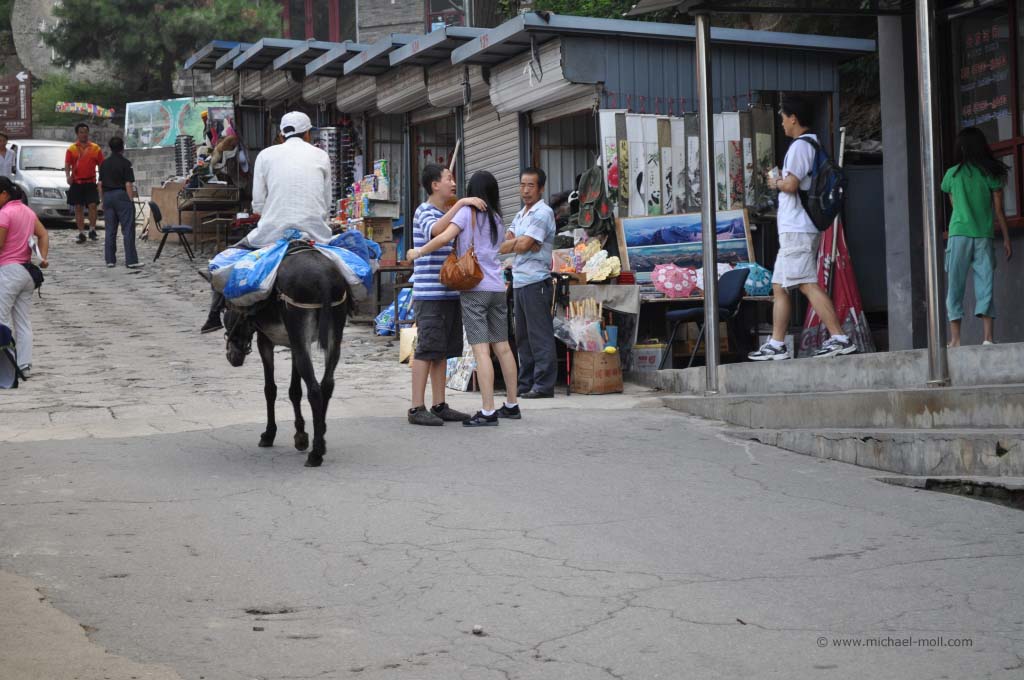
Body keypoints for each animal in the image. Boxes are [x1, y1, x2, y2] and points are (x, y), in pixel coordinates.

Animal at [223, 242, 352, 467]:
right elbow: (294, 390)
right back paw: (321, 435)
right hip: (333, 336)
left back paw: (316, 454)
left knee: (314, 389)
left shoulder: (265, 341)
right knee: (327, 385)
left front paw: (269, 434)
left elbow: (270, 389)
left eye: (226, 315)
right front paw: (301, 436)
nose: (232, 358)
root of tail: (324, 278)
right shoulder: (294, 342)